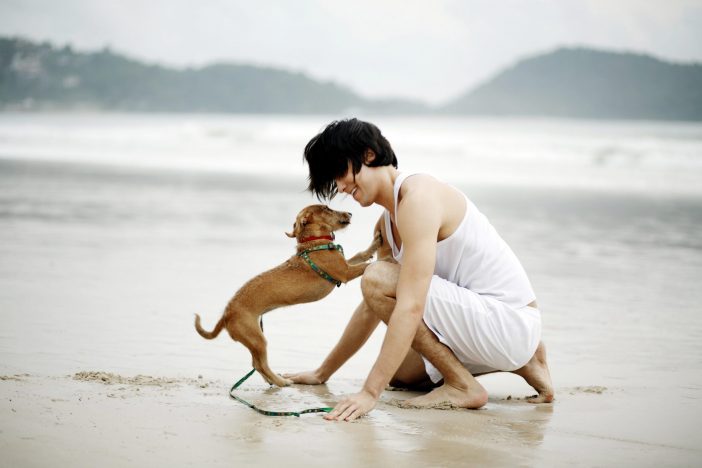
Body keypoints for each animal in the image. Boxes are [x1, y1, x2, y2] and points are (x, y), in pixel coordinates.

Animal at [194, 205, 380, 388]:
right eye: (327, 208)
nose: (350, 213)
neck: (314, 242)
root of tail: (226, 314)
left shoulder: (346, 264)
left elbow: (360, 255)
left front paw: (375, 243)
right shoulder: (346, 272)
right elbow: (366, 265)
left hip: (253, 340)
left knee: (256, 364)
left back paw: (271, 380)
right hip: (258, 339)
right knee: (261, 364)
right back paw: (281, 381)